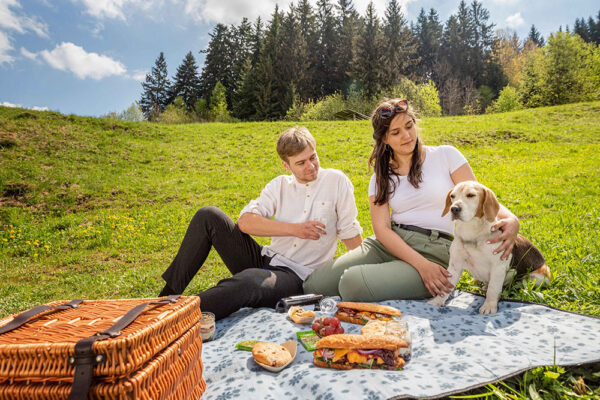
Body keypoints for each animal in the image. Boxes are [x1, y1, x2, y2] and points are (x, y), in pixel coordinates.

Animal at [428, 180, 552, 314]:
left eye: (471, 195)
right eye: (452, 196)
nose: (454, 209)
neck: (473, 232)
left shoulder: (498, 267)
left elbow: (493, 289)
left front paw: (489, 306)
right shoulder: (455, 265)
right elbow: (446, 287)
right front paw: (437, 301)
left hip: (536, 276)